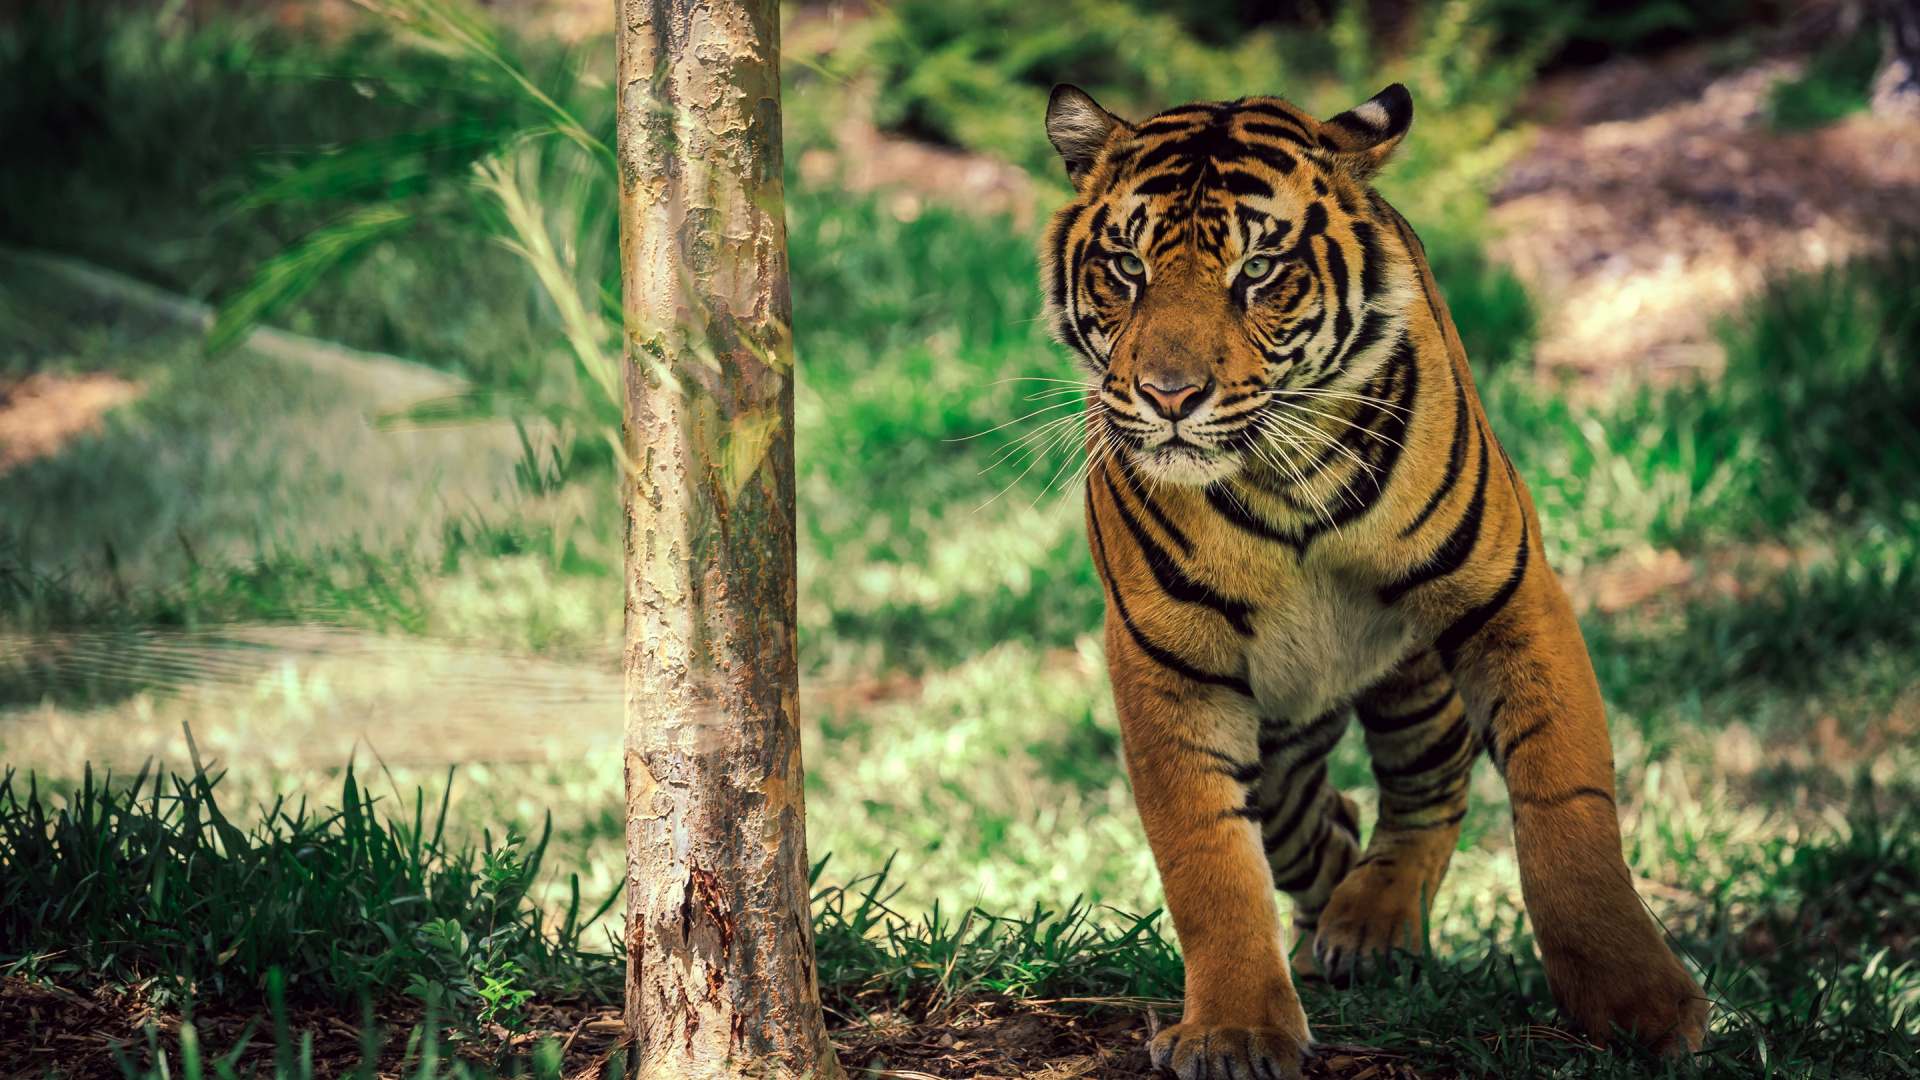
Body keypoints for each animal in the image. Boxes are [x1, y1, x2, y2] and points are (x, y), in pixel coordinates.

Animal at [1038, 83, 1709, 1078]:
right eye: (1126, 266)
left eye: (1258, 270)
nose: (1169, 396)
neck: (1278, 480)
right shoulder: (1170, 662)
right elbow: (1207, 857)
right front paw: (1237, 1029)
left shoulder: (1508, 595)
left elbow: (1567, 809)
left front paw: (1642, 1005)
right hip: (1284, 730)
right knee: (1319, 819)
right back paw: (1328, 934)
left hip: (1414, 676)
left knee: (1429, 791)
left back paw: (1371, 924)